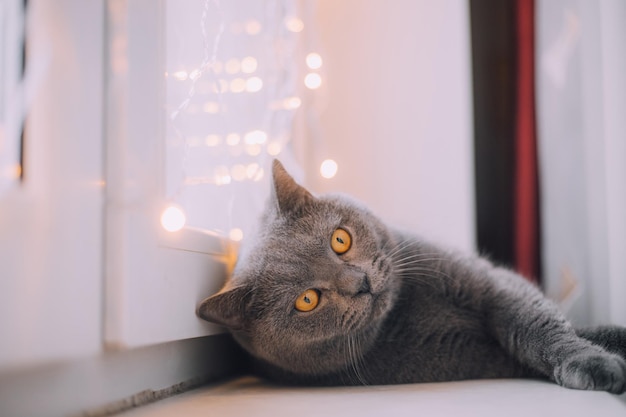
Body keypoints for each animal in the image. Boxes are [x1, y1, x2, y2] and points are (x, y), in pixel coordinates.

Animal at [197, 158, 624, 390]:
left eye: (339, 240)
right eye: (307, 300)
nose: (361, 284)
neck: (410, 308)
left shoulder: (492, 284)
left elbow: (540, 326)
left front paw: (599, 352)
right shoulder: (463, 354)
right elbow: (524, 345)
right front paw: (600, 363)